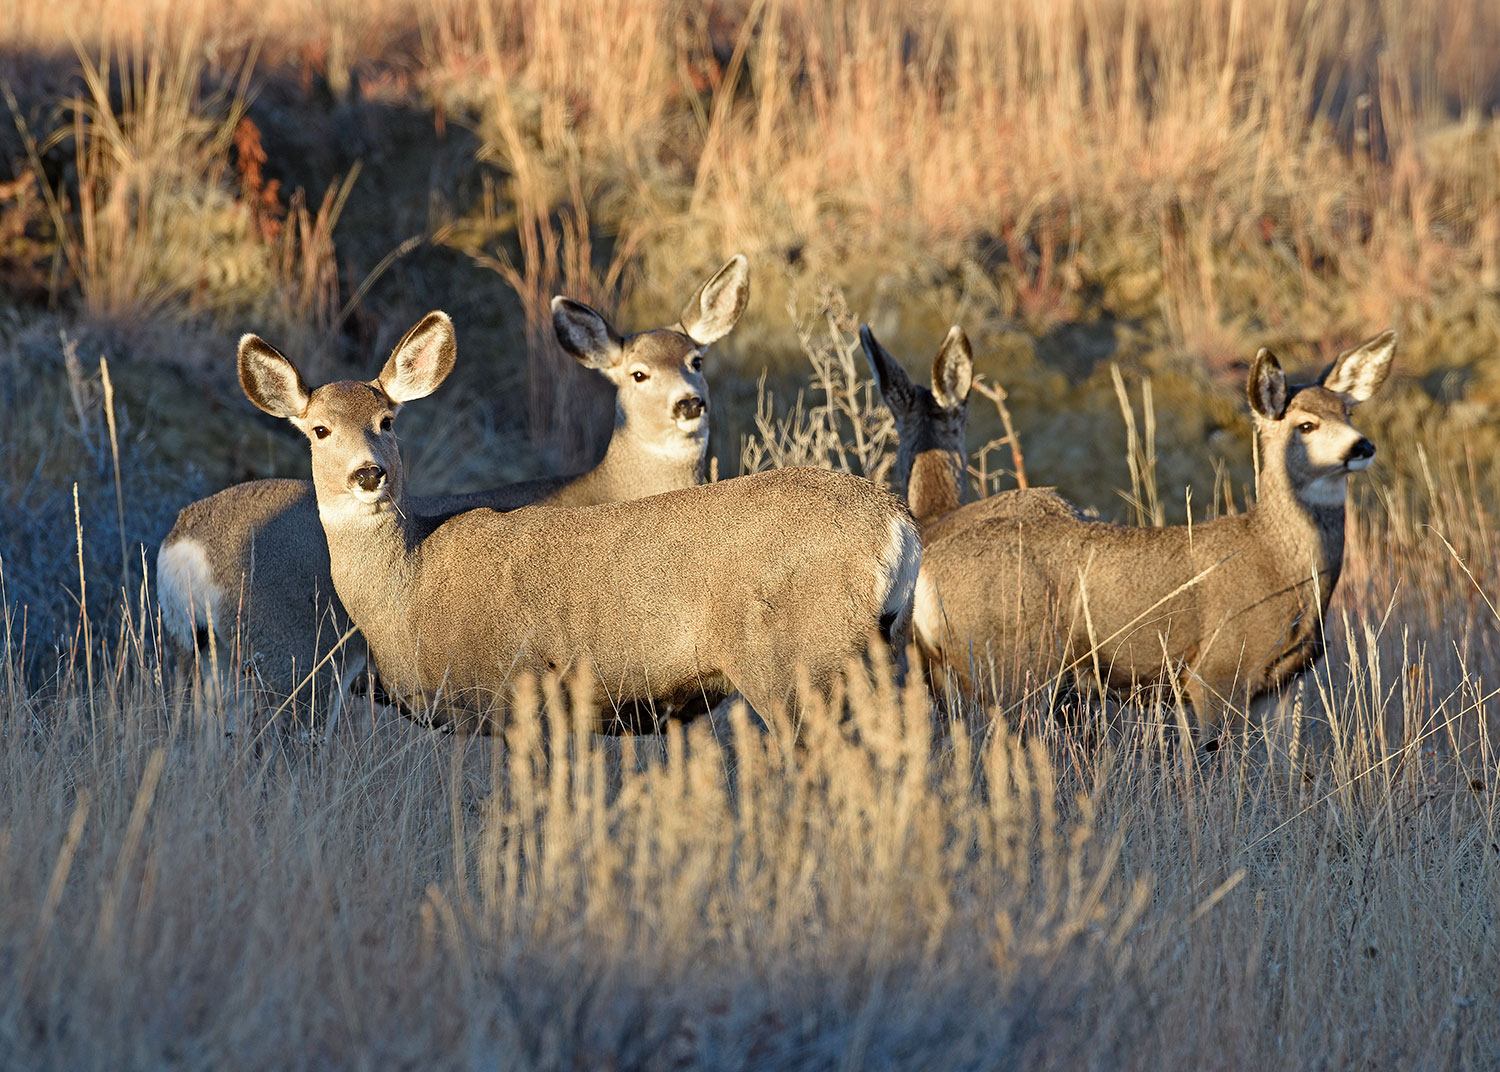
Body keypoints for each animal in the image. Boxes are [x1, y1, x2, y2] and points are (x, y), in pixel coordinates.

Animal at [155, 254, 750, 725]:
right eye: (639, 374)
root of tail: (184, 544)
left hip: (203, 660)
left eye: (697, 361)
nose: (690, 403)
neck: (615, 485)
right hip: (292, 658)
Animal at [235, 305, 918, 734]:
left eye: (387, 421)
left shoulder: (507, 691)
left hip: (791, 665)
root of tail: (895, 526)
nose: (368, 473)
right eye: (320, 429)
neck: (410, 587)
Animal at [870, 326, 1392, 746]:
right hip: (1013, 665)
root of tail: (928, 568)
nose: (1362, 446)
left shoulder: (1284, 684)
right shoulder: (1217, 669)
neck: (1276, 560)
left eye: (1349, 413)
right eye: (1306, 424)